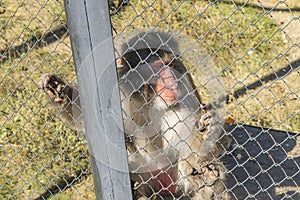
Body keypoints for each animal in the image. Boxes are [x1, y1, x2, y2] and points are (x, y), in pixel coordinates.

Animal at [38, 30, 231, 199]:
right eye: (159, 67)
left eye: (170, 65)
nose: (172, 81)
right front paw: (59, 93)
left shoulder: (184, 81)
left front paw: (206, 131)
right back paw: (139, 193)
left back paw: (206, 185)